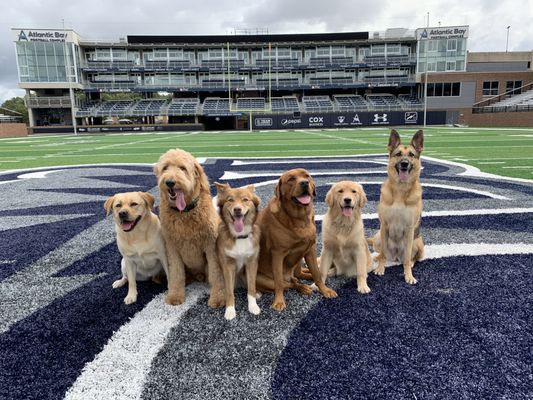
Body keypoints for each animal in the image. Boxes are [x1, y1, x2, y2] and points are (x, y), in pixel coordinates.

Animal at [153, 148, 223, 308]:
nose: (170, 182)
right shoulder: (172, 247)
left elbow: (216, 273)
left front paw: (218, 298)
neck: (184, 213)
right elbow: (176, 273)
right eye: (165, 168)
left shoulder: (211, 246)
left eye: (182, 168)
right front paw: (175, 295)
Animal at [214, 183, 260, 320]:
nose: (237, 210)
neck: (239, 237)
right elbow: (229, 291)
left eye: (245, 199)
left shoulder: (252, 263)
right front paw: (229, 310)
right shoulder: (228, 265)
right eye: (230, 200)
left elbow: (251, 287)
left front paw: (253, 306)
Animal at [255, 167, 336, 310]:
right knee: (289, 283)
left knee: (299, 274)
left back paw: (307, 275)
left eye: (307, 176)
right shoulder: (277, 254)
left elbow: (317, 274)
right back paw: (303, 287)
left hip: (299, 257)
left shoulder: (310, 249)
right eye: (291, 179)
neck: (299, 219)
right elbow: (279, 283)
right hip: (263, 280)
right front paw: (279, 301)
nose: (304, 183)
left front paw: (324, 290)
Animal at [370, 129, 424, 284]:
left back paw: (410, 264)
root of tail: (395, 257)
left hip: (418, 242)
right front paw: (380, 269)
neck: (400, 190)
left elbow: (407, 258)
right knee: (381, 253)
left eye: (411, 155)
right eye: (398, 154)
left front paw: (408, 275)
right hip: (378, 237)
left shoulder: (410, 228)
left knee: (412, 258)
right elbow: (382, 255)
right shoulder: (384, 225)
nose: (404, 163)